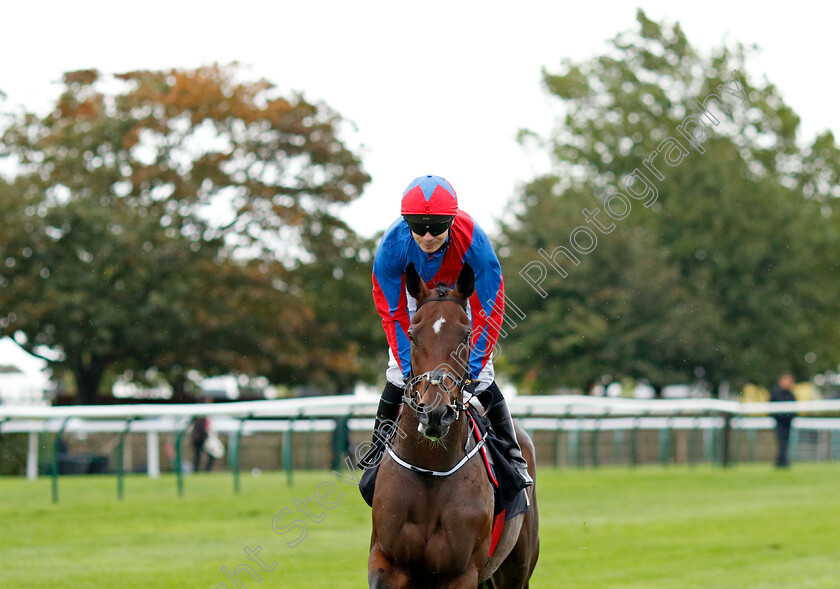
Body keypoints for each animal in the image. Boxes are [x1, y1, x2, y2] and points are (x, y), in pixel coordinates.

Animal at [368, 262, 540, 588]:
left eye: (466, 335)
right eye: (412, 335)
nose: (435, 413)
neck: (430, 470)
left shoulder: (461, 573)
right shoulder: (387, 563)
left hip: (516, 567)